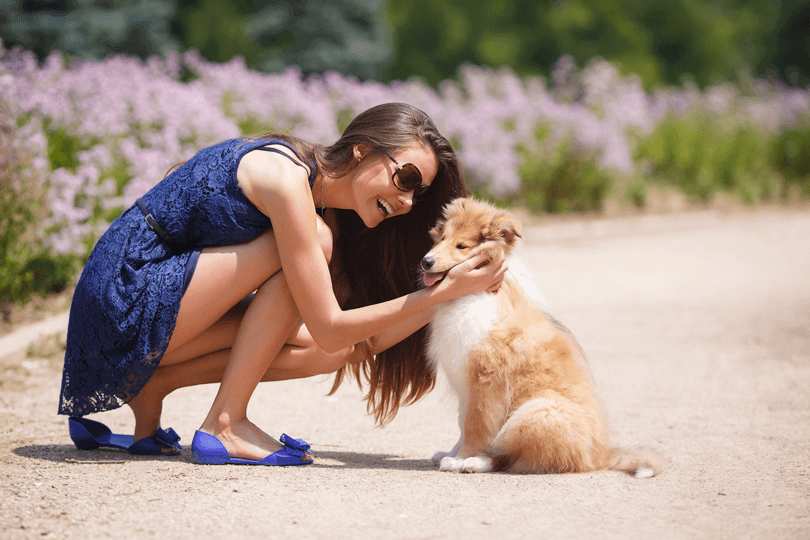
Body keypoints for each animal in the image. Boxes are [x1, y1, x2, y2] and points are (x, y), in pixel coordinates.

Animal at [422, 199, 656, 476]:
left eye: (462, 246)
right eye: (442, 238)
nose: (425, 262)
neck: (474, 293)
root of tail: (602, 457)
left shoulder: (487, 379)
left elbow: (476, 425)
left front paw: (462, 458)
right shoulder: (463, 383)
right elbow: (462, 423)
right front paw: (453, 453)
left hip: (534, 412)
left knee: (519, 457)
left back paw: (476, 462)